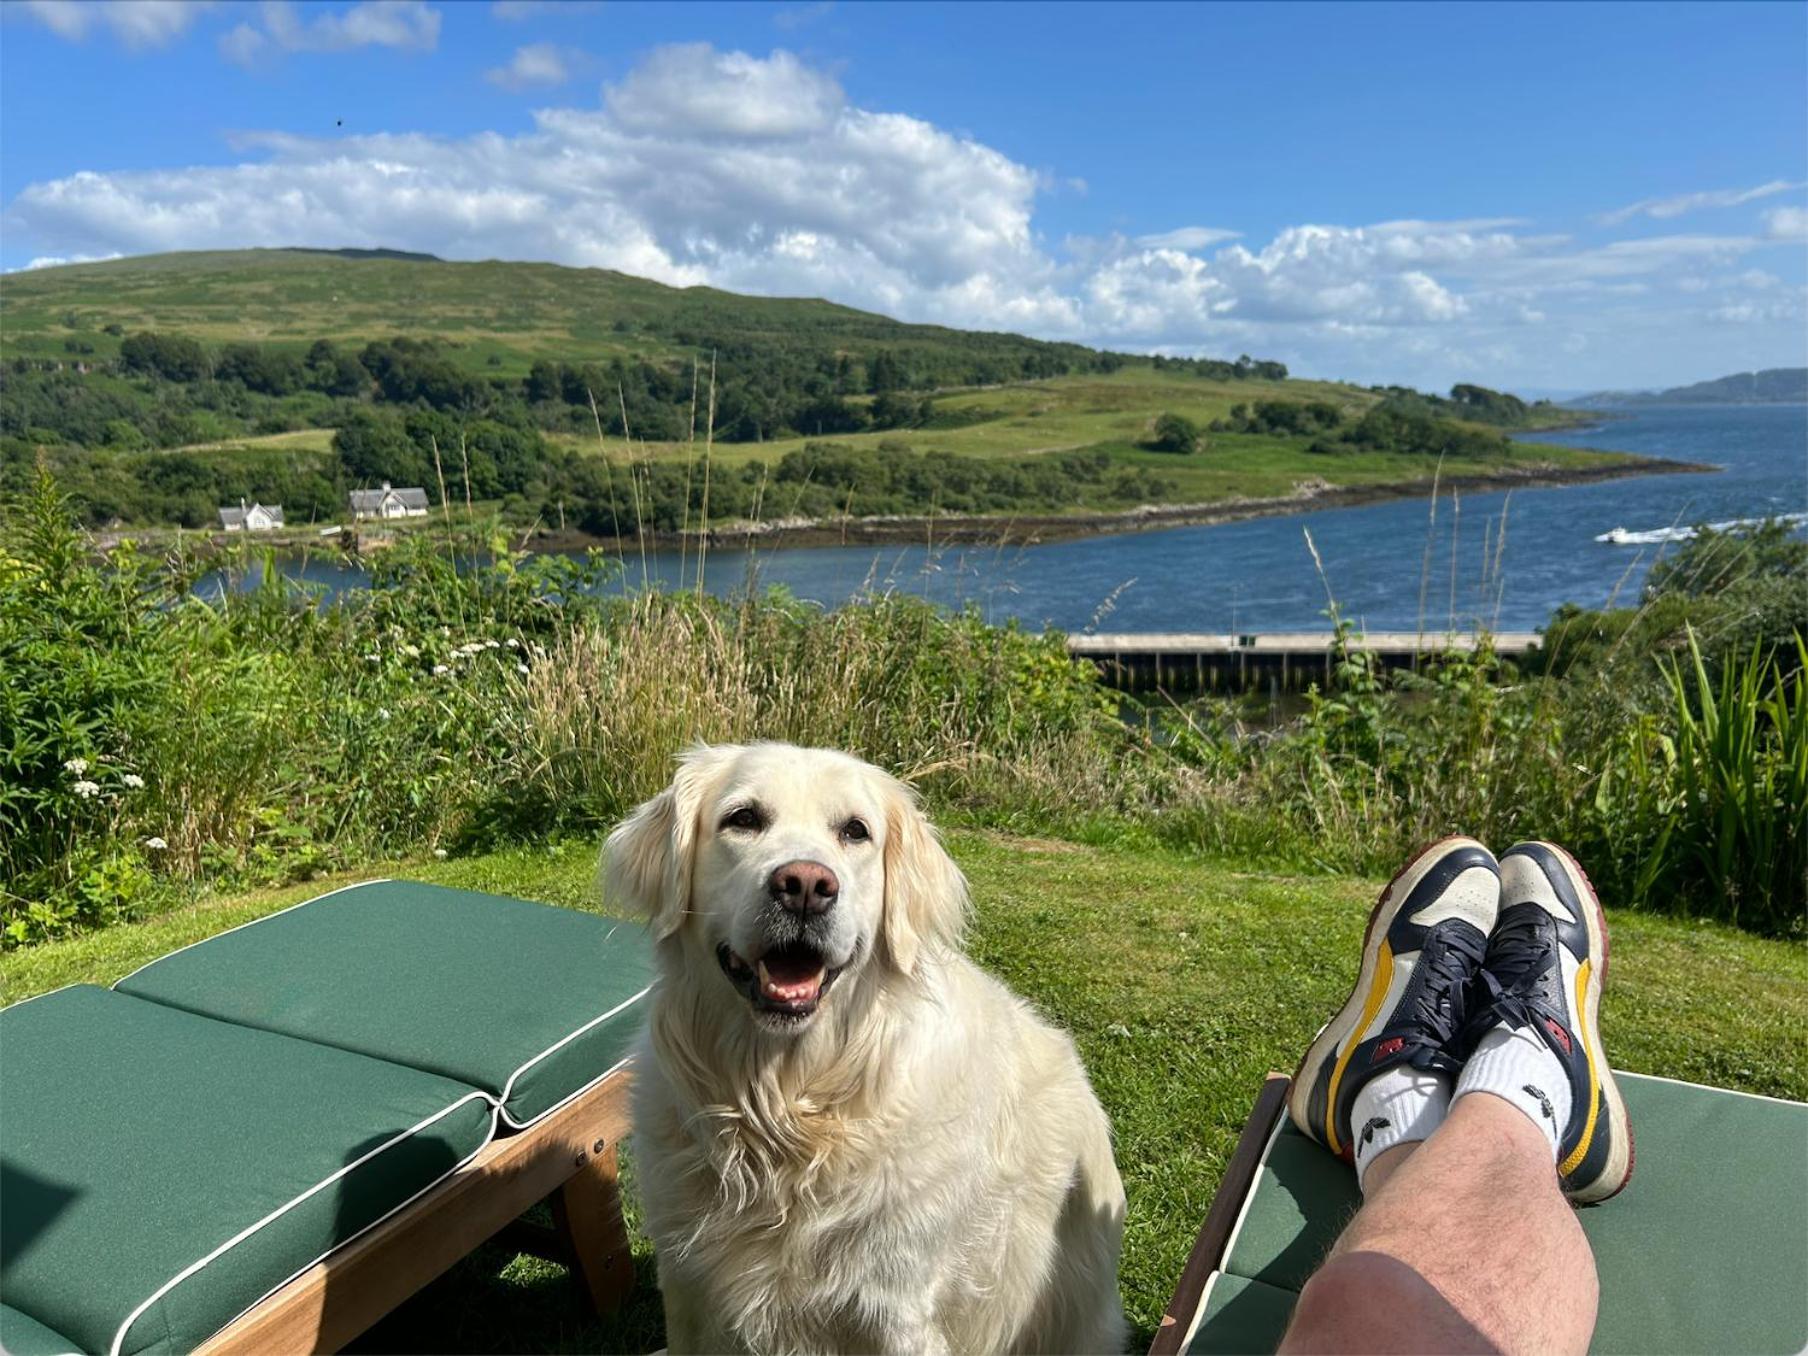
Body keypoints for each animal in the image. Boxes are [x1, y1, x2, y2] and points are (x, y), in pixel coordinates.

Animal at [607, 748, 1128, 1352]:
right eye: (743, 819)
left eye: (855, 831)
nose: (805, 885)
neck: (787, 1113)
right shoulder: (688, 1287)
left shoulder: (897, 1306)